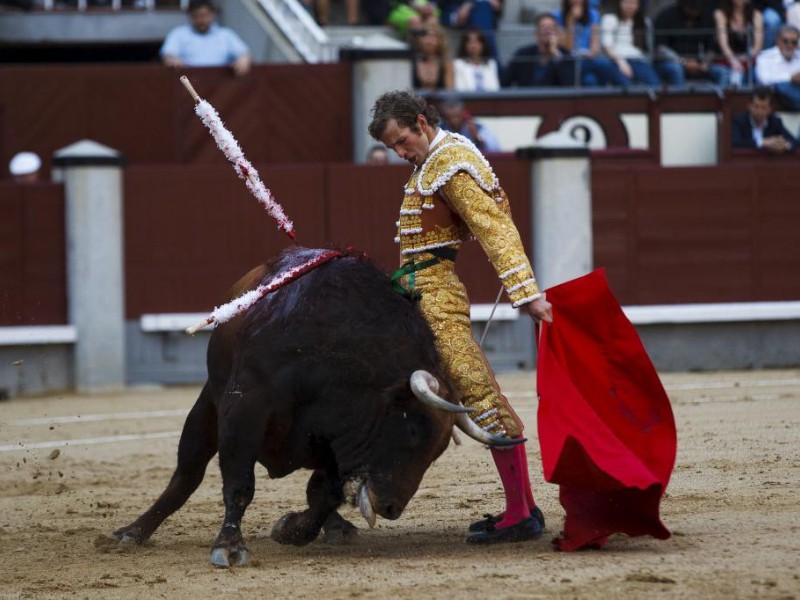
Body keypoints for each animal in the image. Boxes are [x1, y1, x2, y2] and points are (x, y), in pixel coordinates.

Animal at [114, 246, 520, 564]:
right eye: (412, 430)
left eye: (437, 451)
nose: (391, 509)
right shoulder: (243, 408)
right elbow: (239, 483)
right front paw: (229, 547)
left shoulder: (340, 438)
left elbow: (326, 494)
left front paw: (291, 529)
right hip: (206, 407)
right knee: (188, 471)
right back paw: (133, 532)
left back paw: (337, 527)